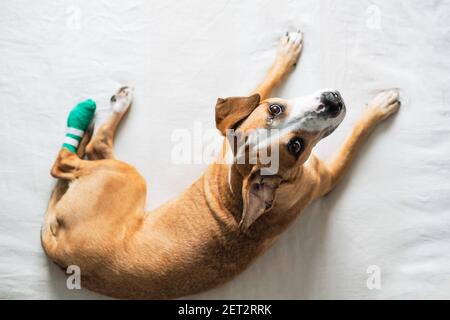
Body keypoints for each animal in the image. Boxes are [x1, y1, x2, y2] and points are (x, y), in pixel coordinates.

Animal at [42, 31, 400, 298]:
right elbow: (355, 136)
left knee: (92, 148)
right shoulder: (327, 178)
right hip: (130, 177)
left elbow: (262, 85)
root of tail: (58, 250)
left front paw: (287, 53)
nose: (333, 101)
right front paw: (378, 108)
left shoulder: (231, 133)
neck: (241, 180)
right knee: (65, 161)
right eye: (296, 147)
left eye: (275, 108)